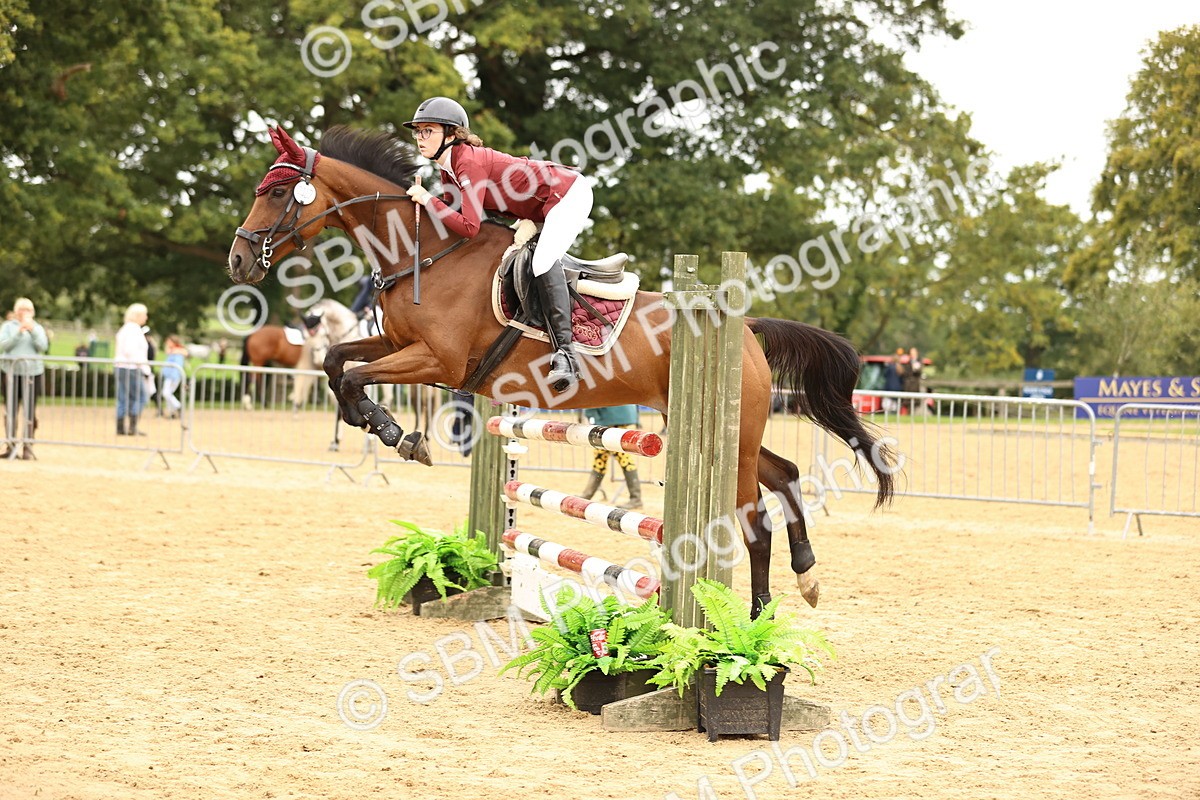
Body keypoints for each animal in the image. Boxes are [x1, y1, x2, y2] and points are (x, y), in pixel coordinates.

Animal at [227, 125, 895, 614]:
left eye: (277, 192)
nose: (238, 261)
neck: (426, 250)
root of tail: (743, 327)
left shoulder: (437, 361)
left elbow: (352, 376)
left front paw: (398, 434)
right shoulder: (396, 344)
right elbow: (338, 365)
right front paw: (384, 429)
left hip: (729, 435)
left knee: (756, 516)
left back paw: (751, 623)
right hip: (731, 431)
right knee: (782, 476)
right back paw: (796, 584)